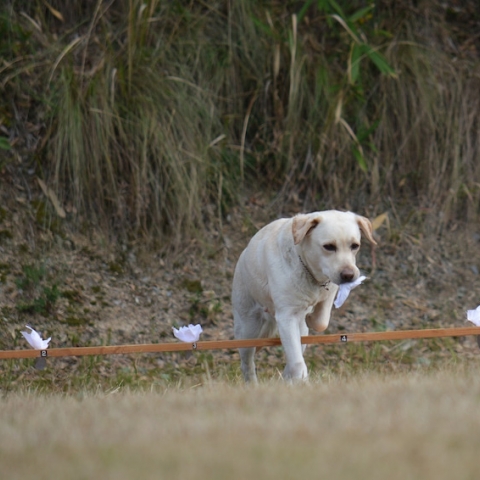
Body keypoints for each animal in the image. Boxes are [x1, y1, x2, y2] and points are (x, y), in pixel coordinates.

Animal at [232, 210, 376, 382]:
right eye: (329, 247)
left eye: (355, 246)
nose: (349, 275)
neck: (311, 275)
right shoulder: (286, 317)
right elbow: (296, 360)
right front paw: (298, 377)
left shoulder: (330, 291)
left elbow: (321, 321)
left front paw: (311, 317)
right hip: (248, 329)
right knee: (247, 363)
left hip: (300, 332)